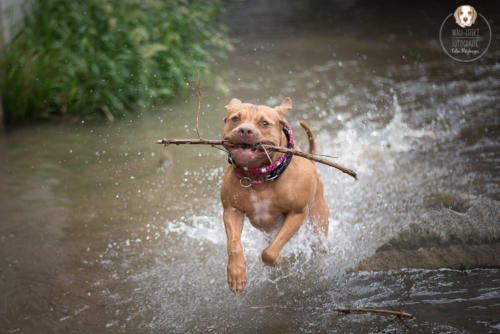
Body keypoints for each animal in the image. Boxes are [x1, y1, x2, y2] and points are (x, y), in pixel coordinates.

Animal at [221, 97, 330, 294]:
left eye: (264, 123)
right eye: (235, 119)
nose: (245, 130)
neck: (259, 177)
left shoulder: (296, 213)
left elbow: (269, 252)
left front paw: (277, 259)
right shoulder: (231, 210)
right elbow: (234, 245)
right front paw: (236, 273)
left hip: (317, 224)